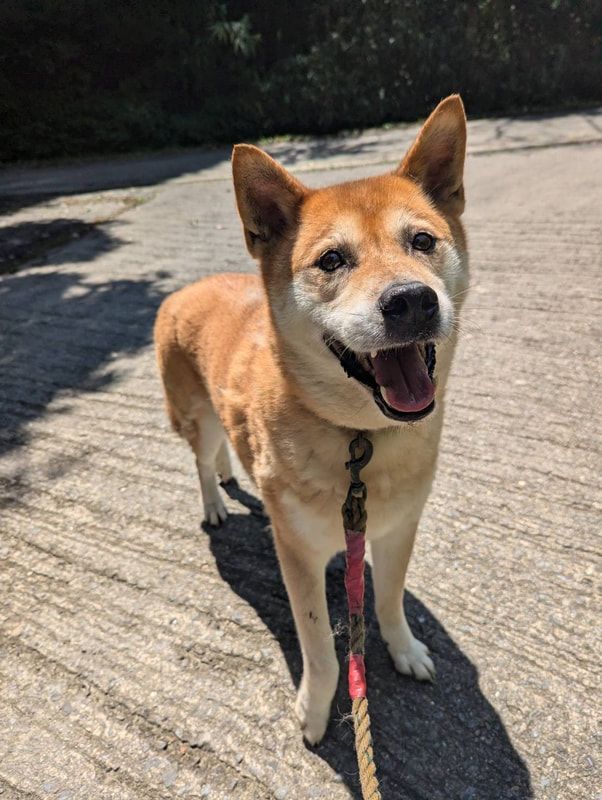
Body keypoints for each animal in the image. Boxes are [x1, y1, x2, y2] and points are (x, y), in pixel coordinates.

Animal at [152, 94, 466, 744]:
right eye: (332, 259)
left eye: (422, 241)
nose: (411, 300)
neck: (360, 440)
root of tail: (184, 288)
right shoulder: (297, 552)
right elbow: (323, 648)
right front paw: (316, 711)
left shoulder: (397, 529)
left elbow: (389, 601)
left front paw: (405, 650)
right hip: (195, 414)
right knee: (200, 458)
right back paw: (214, 500)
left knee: (221, 451)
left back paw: (231, 475)